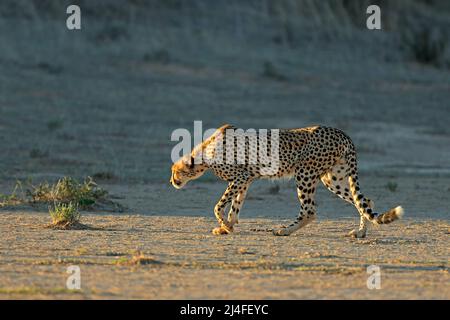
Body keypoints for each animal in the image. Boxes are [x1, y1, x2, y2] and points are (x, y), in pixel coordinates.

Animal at [171, 125, 404, 238]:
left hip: (305, 173)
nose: (172, 181)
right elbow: (235, 206)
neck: (204, 154)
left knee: (309, 210)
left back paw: (284, 230)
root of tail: (342, 134)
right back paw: (361, 232)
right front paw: (227, 226)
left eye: (175, 172)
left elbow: (218, 206)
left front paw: (225, 225)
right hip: (333, 179)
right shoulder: (247, 179)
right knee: (364, 201)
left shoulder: (241, 177)